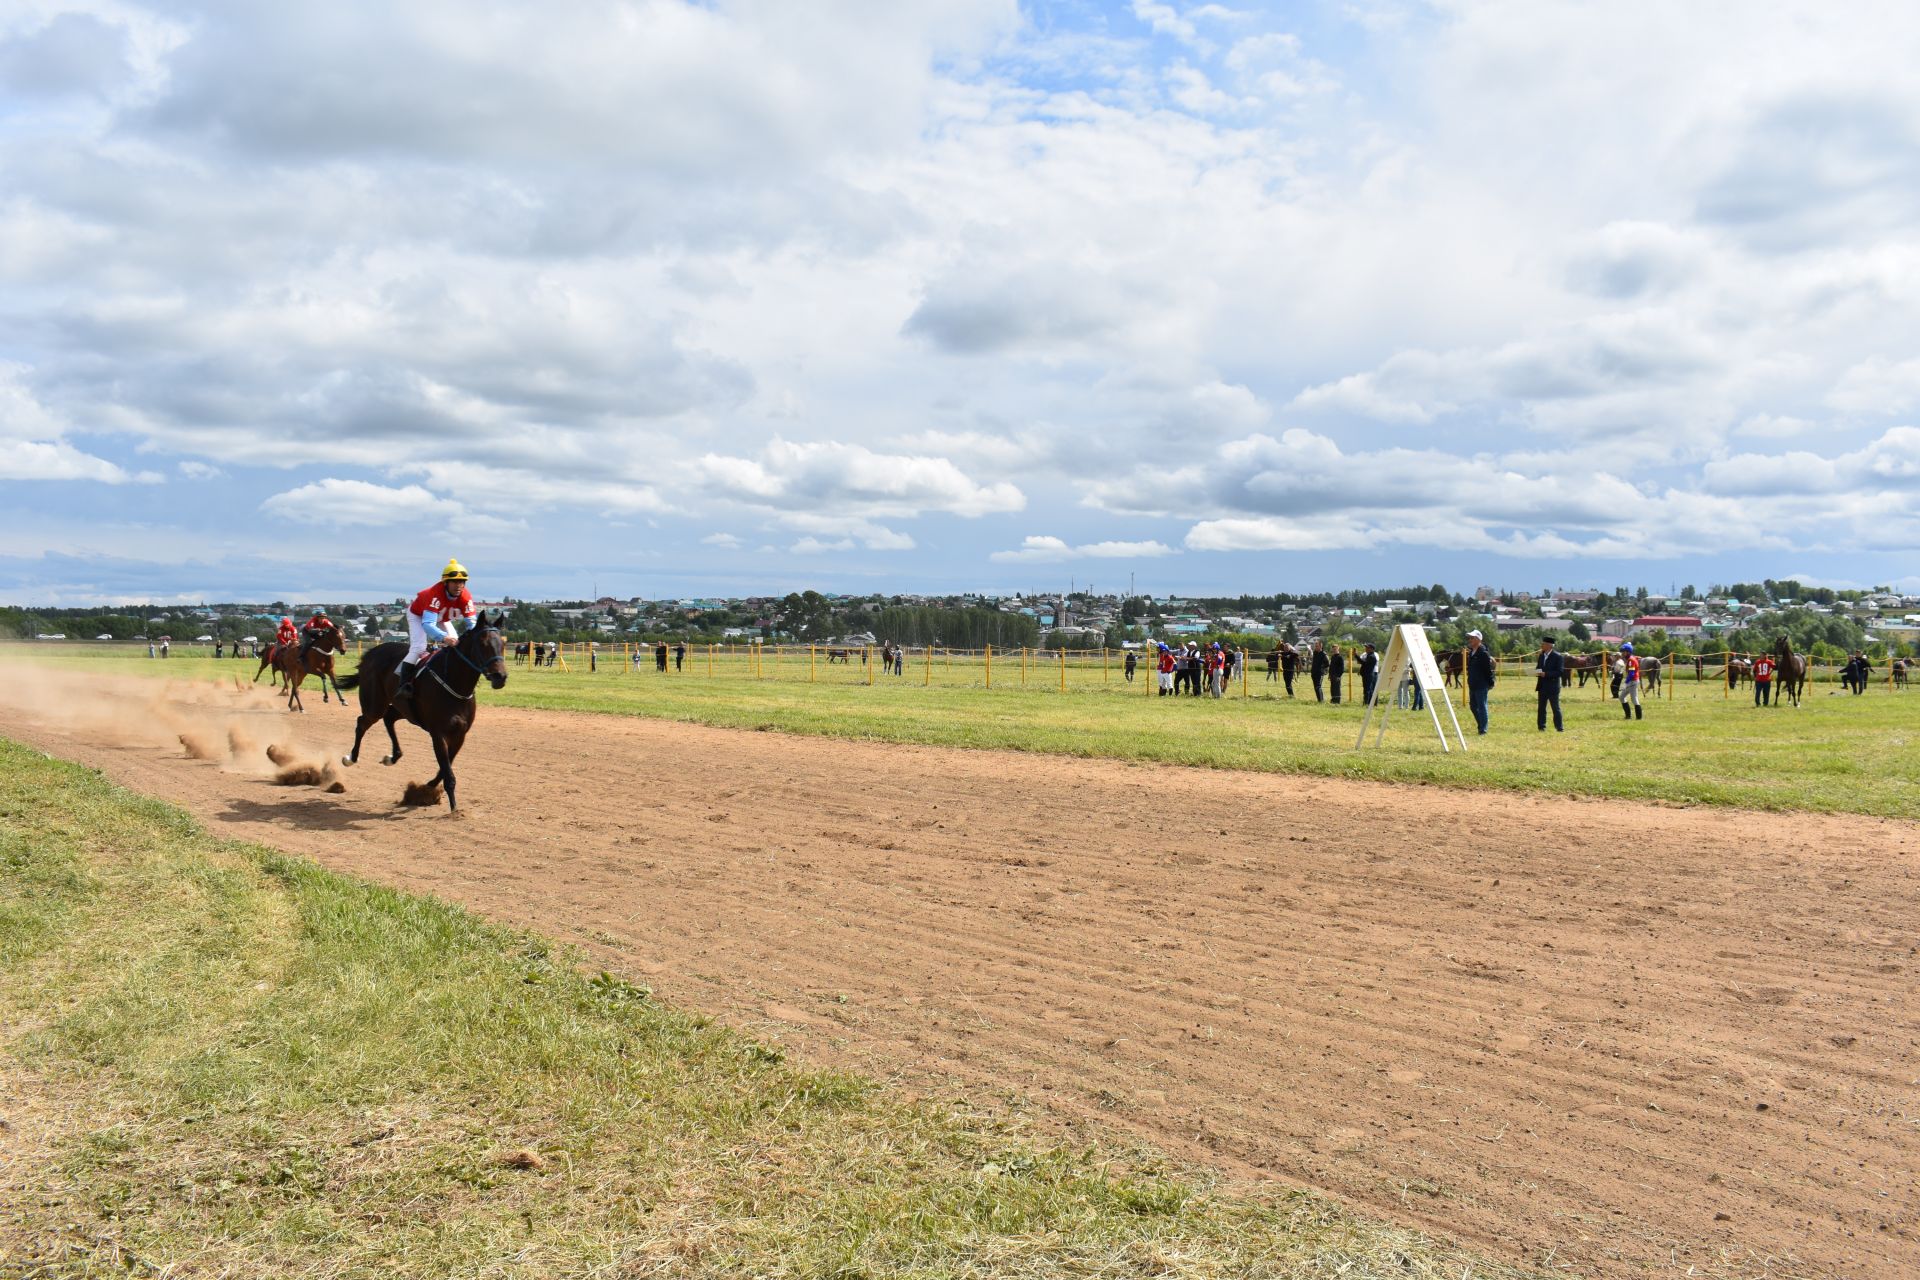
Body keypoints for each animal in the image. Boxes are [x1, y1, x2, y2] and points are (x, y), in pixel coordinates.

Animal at [336, 614, 510, 817]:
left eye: (502, 644)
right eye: (483, 644)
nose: (500, 677)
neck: (454, 682)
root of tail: (370, 654)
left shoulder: (460, 734)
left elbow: (445, 767)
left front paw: (427, 788)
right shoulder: (438, 734)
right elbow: (448, 772)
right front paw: (454, 809)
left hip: (403, 708)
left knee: (388, 718)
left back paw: (393, 757)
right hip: (374, 705)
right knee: (362, 723)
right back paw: (351, 758)